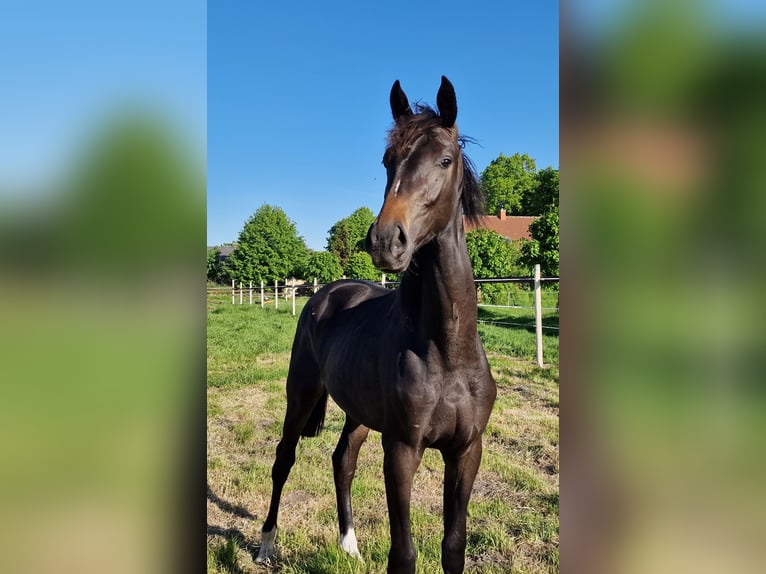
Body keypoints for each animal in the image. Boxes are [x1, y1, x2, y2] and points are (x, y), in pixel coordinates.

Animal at [256, 77, 498, 574]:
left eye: (445, 160)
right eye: (388, 161)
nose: (386, 240)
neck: (447, 351)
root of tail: (325, 293)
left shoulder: (467, 451)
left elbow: (454, 546)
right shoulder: (402, 450)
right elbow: (403, 554)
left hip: (359, 412)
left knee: (342, 459)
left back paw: (348, 543)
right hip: (301, 394)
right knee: (284, 458)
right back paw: (267, 545)